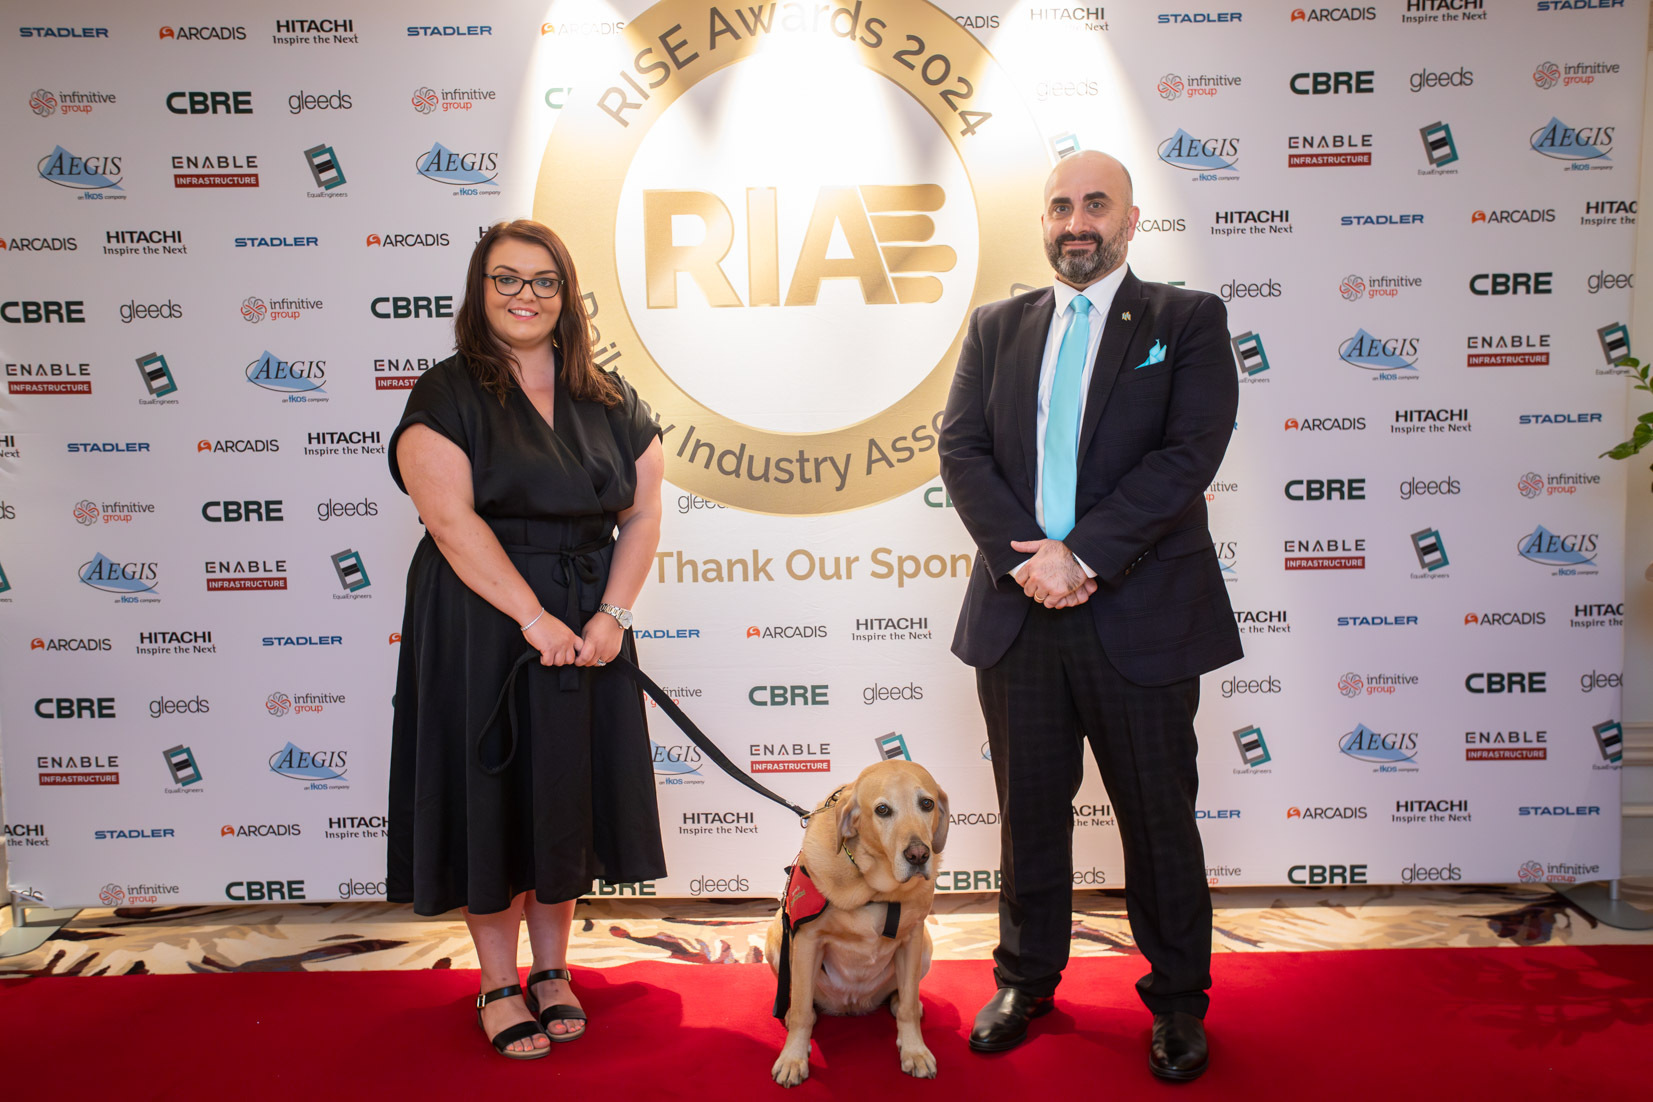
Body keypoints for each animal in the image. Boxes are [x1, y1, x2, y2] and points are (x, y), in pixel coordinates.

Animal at [763, 760, 952, 1083]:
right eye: (882, 810)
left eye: (927, 804)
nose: (918, 854)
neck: (875, 891)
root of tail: (851, 1005)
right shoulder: (808, 940)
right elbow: (801, 1010)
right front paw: (793, 1058)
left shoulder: (912, 937)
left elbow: (908, 1009)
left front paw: (914, 1050)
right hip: (777, 939)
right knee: (802, 1002)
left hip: (925, 947)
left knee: (904, 998)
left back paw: (902, 1002)